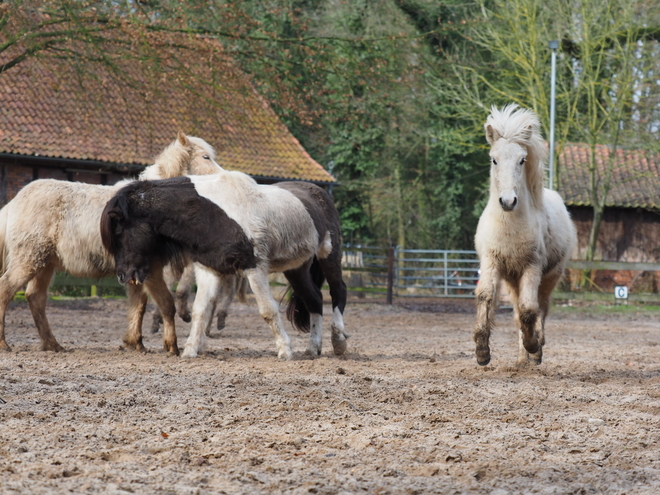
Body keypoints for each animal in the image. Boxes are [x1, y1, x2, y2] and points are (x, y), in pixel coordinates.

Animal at [100, 172, 348, 358]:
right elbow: (200, 309)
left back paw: (338, 342)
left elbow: (268, 310)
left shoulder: (254, 267)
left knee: (338, 292)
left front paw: (285, 350)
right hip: (297, 269)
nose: (122, 275)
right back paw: (313, 348)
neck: (209, 212)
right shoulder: (208, 269)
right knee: (315, 300)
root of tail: (319, 194)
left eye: (119, 232)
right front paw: (190, 350)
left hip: (329, 255)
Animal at [474, 104, 576, 368]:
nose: (508, 201)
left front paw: (533, 345)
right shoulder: (491, 262)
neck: (509, 226)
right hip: (512, 281)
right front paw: (482, 352)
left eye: (522, 160)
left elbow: (530, 309)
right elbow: (486, 297)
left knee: (540, 309)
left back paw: (534, 353)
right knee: (518, 314)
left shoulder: (532, 267)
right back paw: (521, 359)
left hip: (550, 277)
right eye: (494, 159)